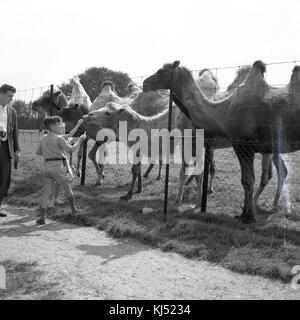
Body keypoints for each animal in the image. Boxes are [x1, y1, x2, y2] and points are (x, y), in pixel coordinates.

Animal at [142, 60, 300, 225]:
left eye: (160, 71)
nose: (145, 83)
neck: (221, 111)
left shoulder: (242, 146)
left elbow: (247, 181)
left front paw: (247, 216)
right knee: (276, 172)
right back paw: (269, 204)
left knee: (272, 173)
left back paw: (267, 205)